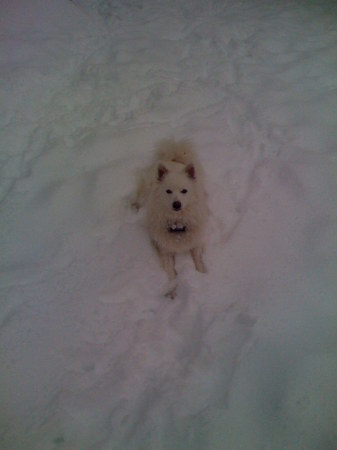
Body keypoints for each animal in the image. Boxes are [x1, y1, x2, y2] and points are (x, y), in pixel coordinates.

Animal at [132, 139, 206, 298]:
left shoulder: (196, 242)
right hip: (146, 189)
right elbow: (171, 272)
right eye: (168, 191)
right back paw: (134, 206)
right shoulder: (164, 250)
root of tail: (173, 159)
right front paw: (172, 291)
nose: (176, 204)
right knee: (140, 197)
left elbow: (198, 260)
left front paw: (203, 275)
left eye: (184, 191)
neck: (177, 224)